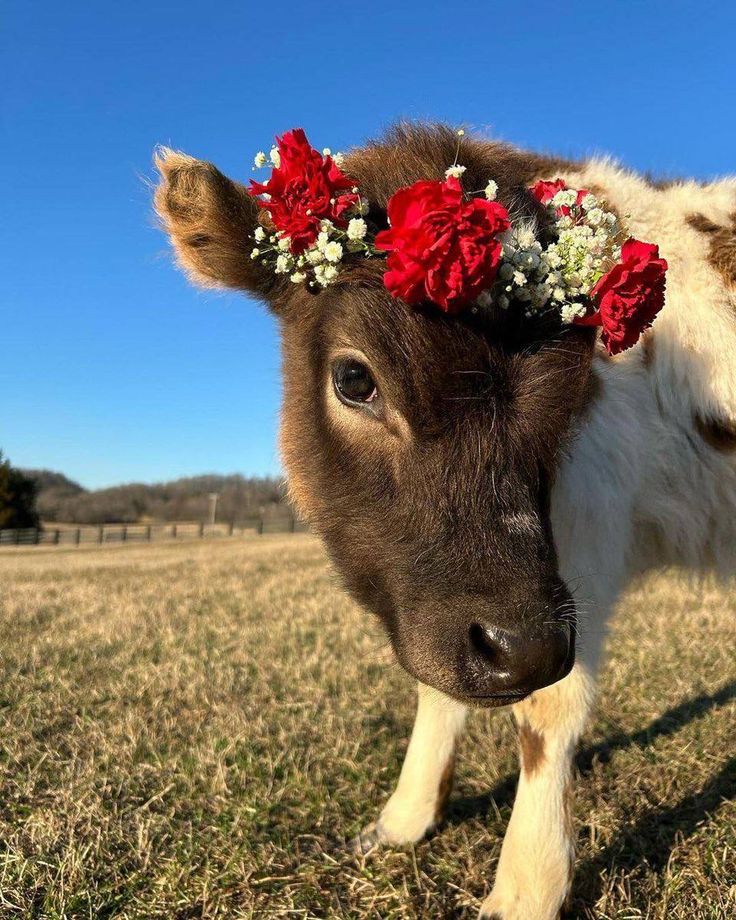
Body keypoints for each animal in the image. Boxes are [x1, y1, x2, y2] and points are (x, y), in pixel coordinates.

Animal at [155, 124, 736, 920]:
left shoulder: (575, 552)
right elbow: (440, 685)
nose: (519, 648)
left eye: (571, 386)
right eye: (354, 378)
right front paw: (404, 817)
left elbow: (547, 708)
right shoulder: (463, 605)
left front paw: (524, 888)